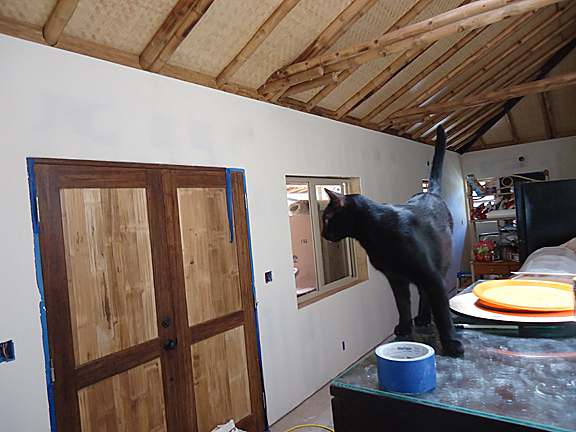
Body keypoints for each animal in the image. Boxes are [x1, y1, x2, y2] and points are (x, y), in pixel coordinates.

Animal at [324, 125, 464, 358]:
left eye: (326, 219)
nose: (323, 233)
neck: (374, 234)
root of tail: (430, 193)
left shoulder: (431, 275)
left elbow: (442, 311)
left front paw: (451, 343)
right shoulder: (395, 278)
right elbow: (402, 305)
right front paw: (405, 327)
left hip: (439, 267)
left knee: (429, 295)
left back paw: (426, 318)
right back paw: (422, 318)